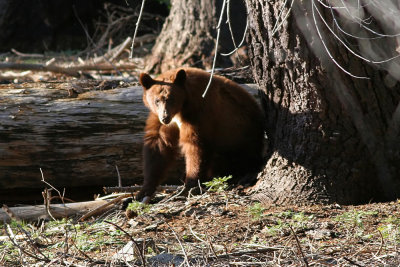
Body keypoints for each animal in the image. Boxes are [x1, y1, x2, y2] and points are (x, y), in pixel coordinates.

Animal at [136, 68, 264, 202]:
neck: (182, 108)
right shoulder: (161, 120)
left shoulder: (200, 113)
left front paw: (188, 187)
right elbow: (158, 146)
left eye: (171, 99)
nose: (165, 117)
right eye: (157, 100)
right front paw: (144, 190)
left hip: (238, 138)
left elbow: (196, 146)